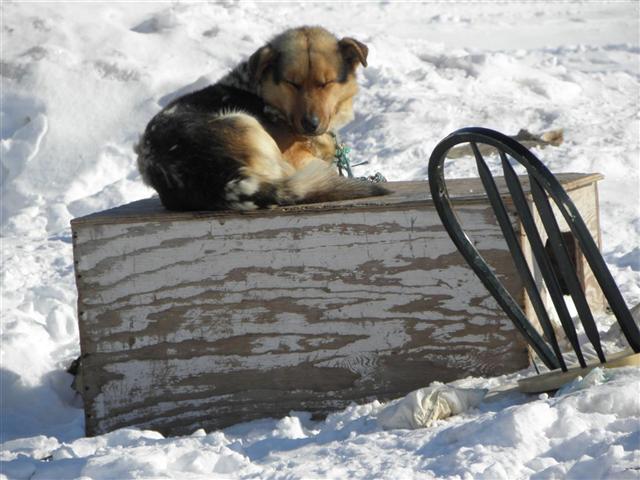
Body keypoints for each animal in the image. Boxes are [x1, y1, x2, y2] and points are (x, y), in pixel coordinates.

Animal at [135, 25, 390, 210]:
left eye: (325, 83)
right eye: (292, 83)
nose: (311, 124)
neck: (265, 94)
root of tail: (220, 179)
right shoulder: (297, 157)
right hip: (245, 122)